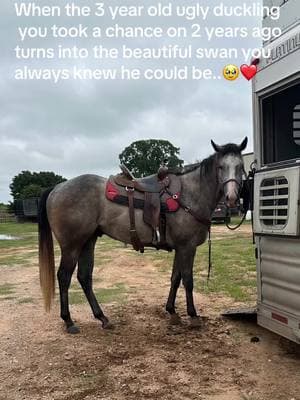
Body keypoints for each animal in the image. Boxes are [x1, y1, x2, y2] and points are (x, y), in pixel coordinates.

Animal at [38, 139, 248, 332]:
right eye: (220, 167)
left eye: (240, 166)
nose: (231, 198)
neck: (189, 194)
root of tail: (57, 188)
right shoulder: (187, 247)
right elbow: (188, 280)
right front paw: (193, 316)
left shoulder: (180, 248)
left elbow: (175, 278)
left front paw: (172, 312)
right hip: (72, 245)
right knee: (64, 277)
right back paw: (68, 321)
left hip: (87, 241)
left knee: (84, 277)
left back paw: (102, 318)